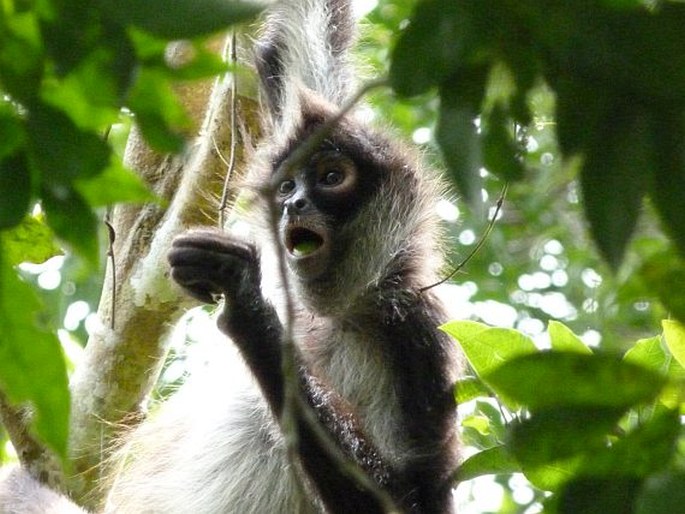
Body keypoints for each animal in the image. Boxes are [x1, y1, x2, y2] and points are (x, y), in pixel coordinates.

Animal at [0, 1, 462, 512]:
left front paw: (247, 304)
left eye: (331, 177)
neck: (333, 312)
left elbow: (409, 499)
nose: (294, 204)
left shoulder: (416, 336)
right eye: (287, 185)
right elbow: (299, 39)